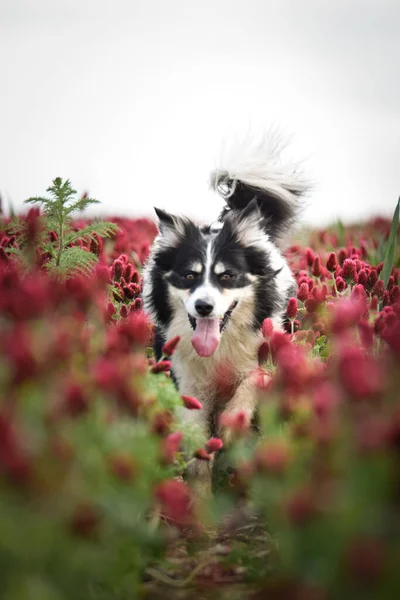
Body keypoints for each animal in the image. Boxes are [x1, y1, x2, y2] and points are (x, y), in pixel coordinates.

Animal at [142, 137, 308, 496]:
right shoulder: (186, 381)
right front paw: (201, 503)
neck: (218, 349)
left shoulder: (264, 351)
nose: (204, 307)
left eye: (227, 276)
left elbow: (254, 380)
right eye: (189, 276)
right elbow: (197, 453)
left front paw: (231, 426)